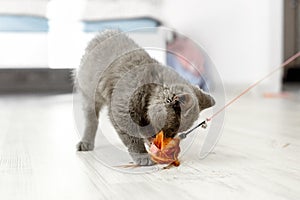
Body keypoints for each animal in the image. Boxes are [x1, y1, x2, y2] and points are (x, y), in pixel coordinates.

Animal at [76, 30, 214, 166]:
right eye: (171, 129)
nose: (167, 139)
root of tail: (104, 32)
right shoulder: (122, 112)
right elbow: (133, 137)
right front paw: (143, 156)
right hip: (89, 94)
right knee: (91, 120)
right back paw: (85, 143)